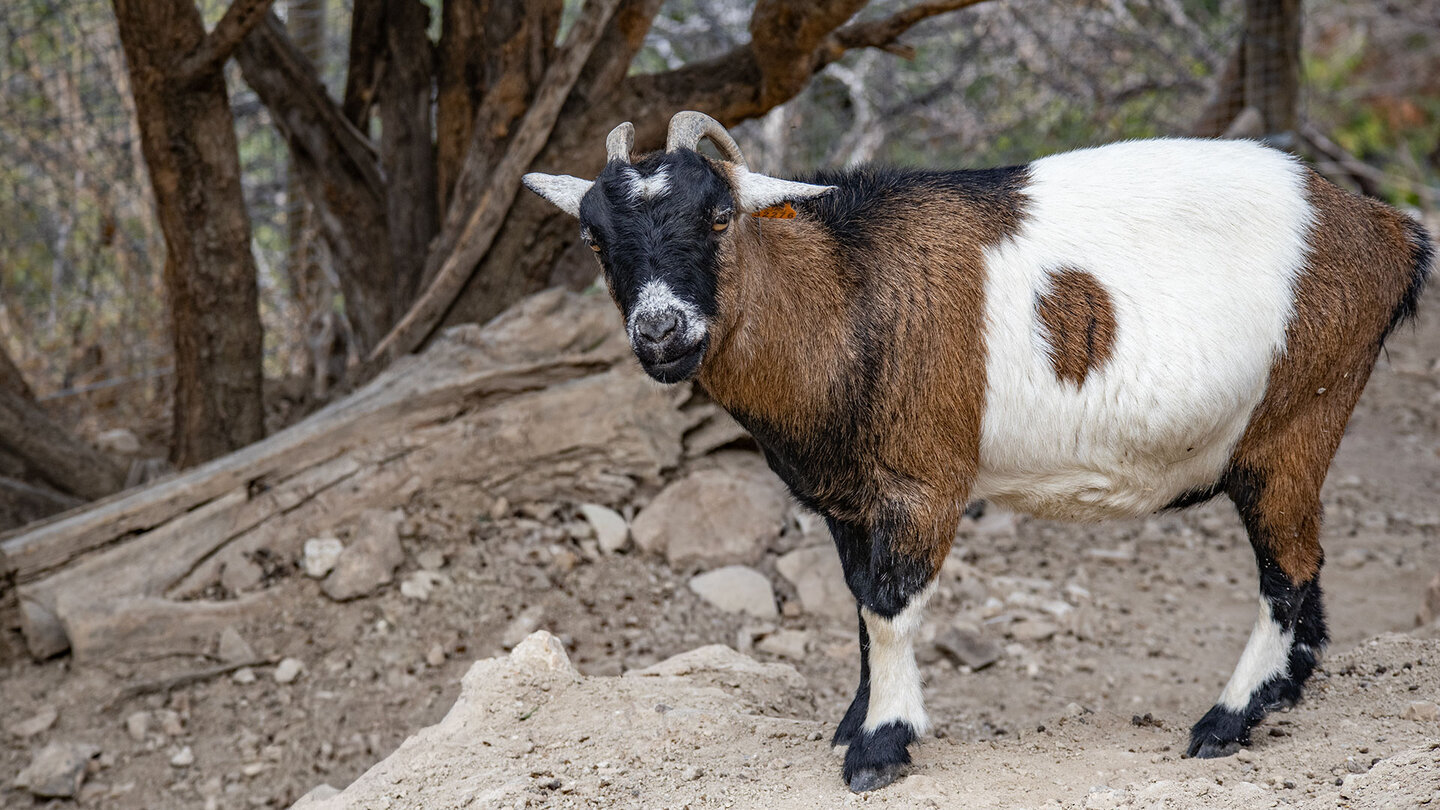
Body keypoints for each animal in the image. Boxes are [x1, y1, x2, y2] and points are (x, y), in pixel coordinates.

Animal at [524, 111, 1433, 793]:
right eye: (596, 239)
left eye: (717, 217)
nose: (661, 334)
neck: (846, 292)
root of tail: (1388, 230)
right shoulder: (851, 497)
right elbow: (859, 603)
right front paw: (854, 721)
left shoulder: (924, 482)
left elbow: (890, 606)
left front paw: (881, 747)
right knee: (1304, 564)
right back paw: (1283, 695)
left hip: (1294, 421)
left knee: (1287, 571)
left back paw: (1227, 721)